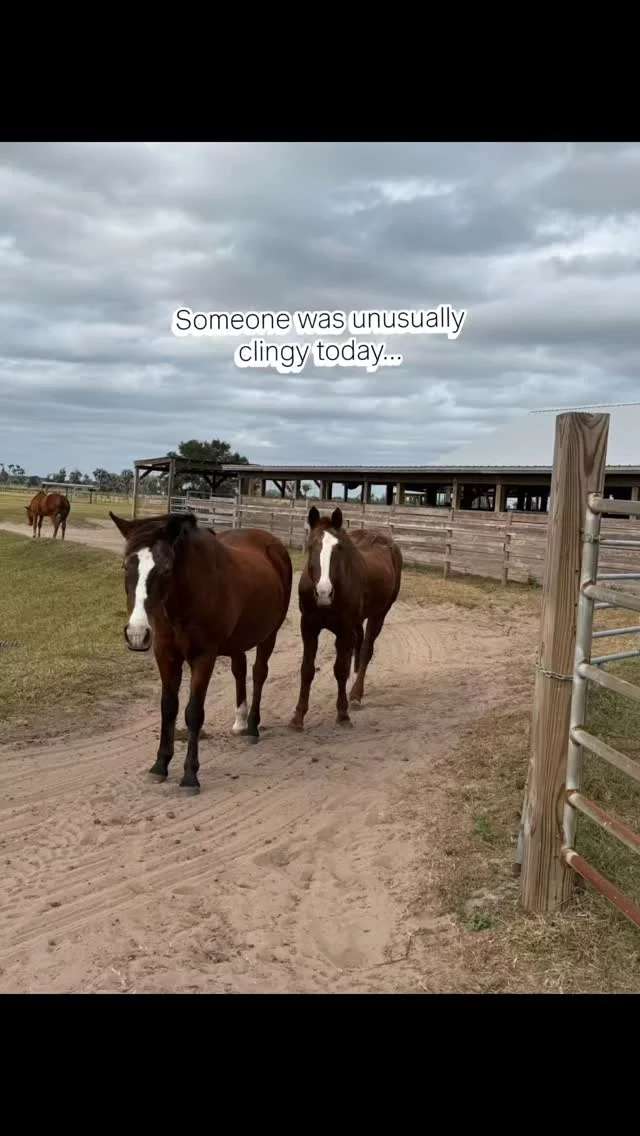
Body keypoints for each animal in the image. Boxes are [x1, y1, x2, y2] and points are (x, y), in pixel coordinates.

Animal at [109, 510, 293, 794]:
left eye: (166, 569)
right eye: (126, 566)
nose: (137, 634)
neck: (187, 597)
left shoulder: (203, 657)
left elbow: (193, 713)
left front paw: (189, 776)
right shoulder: (166, 654)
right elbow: (168, 708)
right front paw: (159, 766)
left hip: (269, 634)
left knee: (259, 673)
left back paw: (252, 727)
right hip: (237, 641)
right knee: (240, 670)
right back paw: (239, 722)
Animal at [289, 505, 403, 731]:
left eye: (338, 547)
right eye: (312, 545)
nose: (324, 593)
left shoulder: (344, 630)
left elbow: (340, 669)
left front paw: (342, 715)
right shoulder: (308, 627)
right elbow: (307, 670)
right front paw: (298, 717)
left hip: (379, 614)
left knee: (366, 649)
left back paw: (356, 694)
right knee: (358, 646)